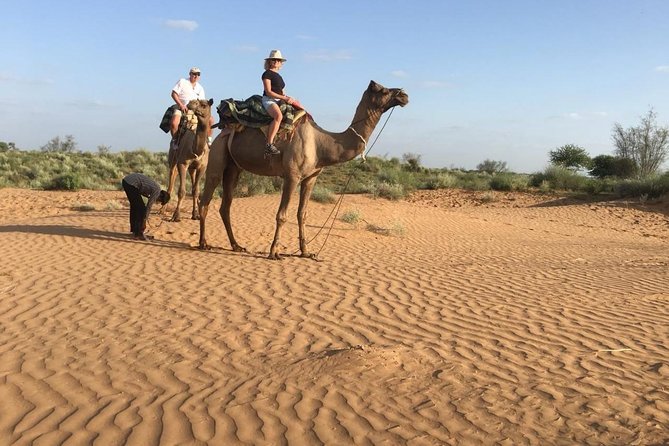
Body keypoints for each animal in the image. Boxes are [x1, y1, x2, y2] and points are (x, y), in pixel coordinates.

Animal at [197, 82, 408, 260]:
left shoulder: (310, 178)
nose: (404, 95)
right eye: (383, 90)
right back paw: (203, 243)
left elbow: (302, 214)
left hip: (234, 168)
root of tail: (221, 130)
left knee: (226, 205)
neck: (321, 144)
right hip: (217, 156)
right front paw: (274, 253)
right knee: (206, 199)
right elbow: (282, 215)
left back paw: (236, 245)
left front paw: (306, 252)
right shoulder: (292, 176)